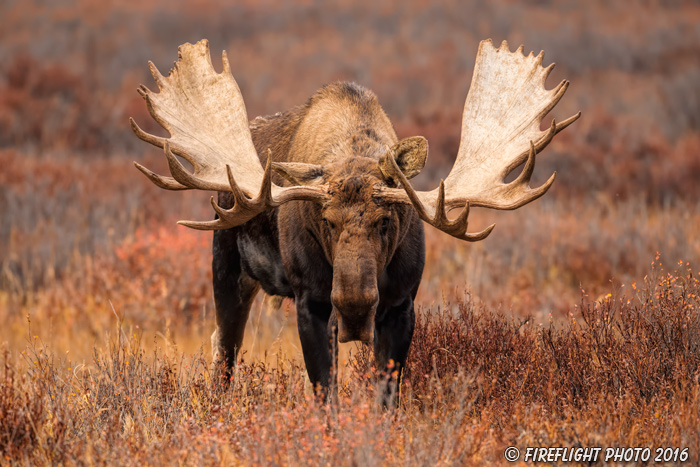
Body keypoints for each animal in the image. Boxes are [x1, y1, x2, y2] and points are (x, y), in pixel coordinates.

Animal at [131, 38, 580, 404]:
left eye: (385, 220)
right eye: (327, 220)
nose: (353, 304)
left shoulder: (401, 304)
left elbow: (386, 397)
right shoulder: (311, 301)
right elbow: (324, 394)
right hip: (226, 267)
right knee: (224, 348)